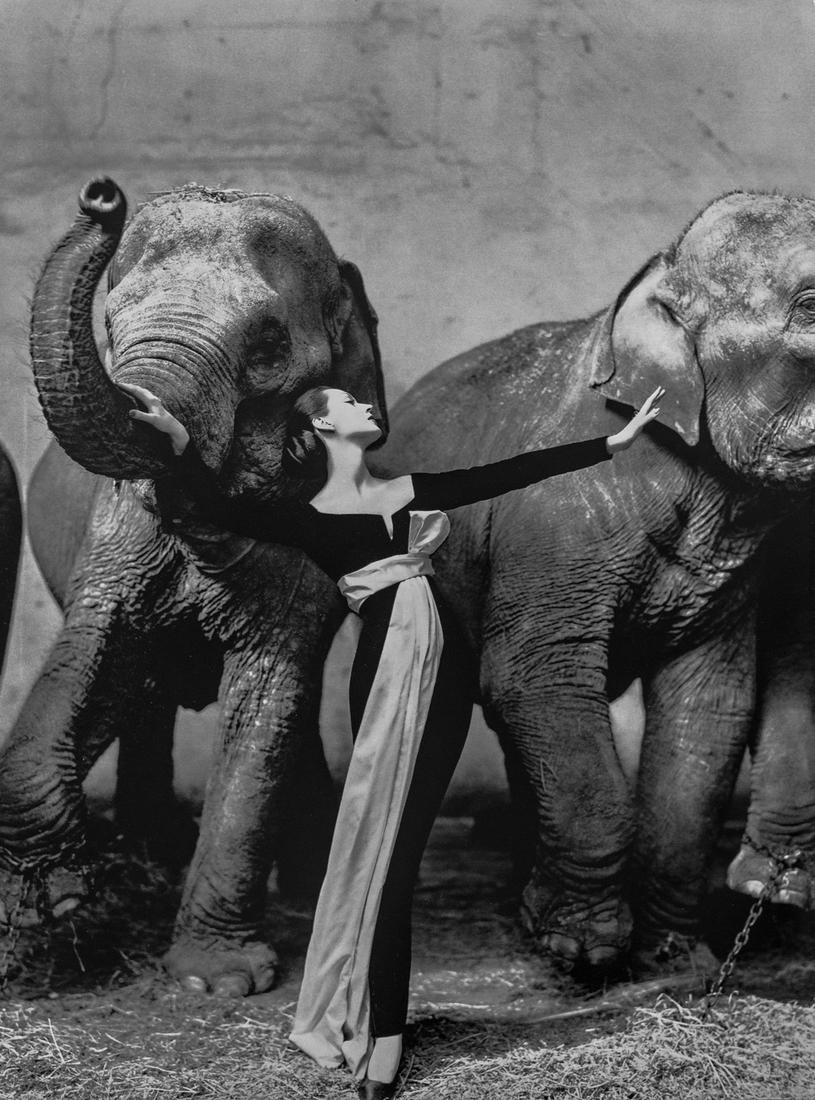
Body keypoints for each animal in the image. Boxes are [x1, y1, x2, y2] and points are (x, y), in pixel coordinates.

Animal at [0, 176, 387, 995]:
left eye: (268, 342)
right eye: (109, 321)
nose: (101, 196)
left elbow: (270, 691)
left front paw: (215, 981)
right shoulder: (117, 530)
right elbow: (94, 654)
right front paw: (56, 905)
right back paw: (154, 845)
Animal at [372, 190, 815, 971]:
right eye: (813, 304)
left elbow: (708, 707)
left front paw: (675, 960)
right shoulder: (555, 524)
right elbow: (534, 675)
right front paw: (581, 950)